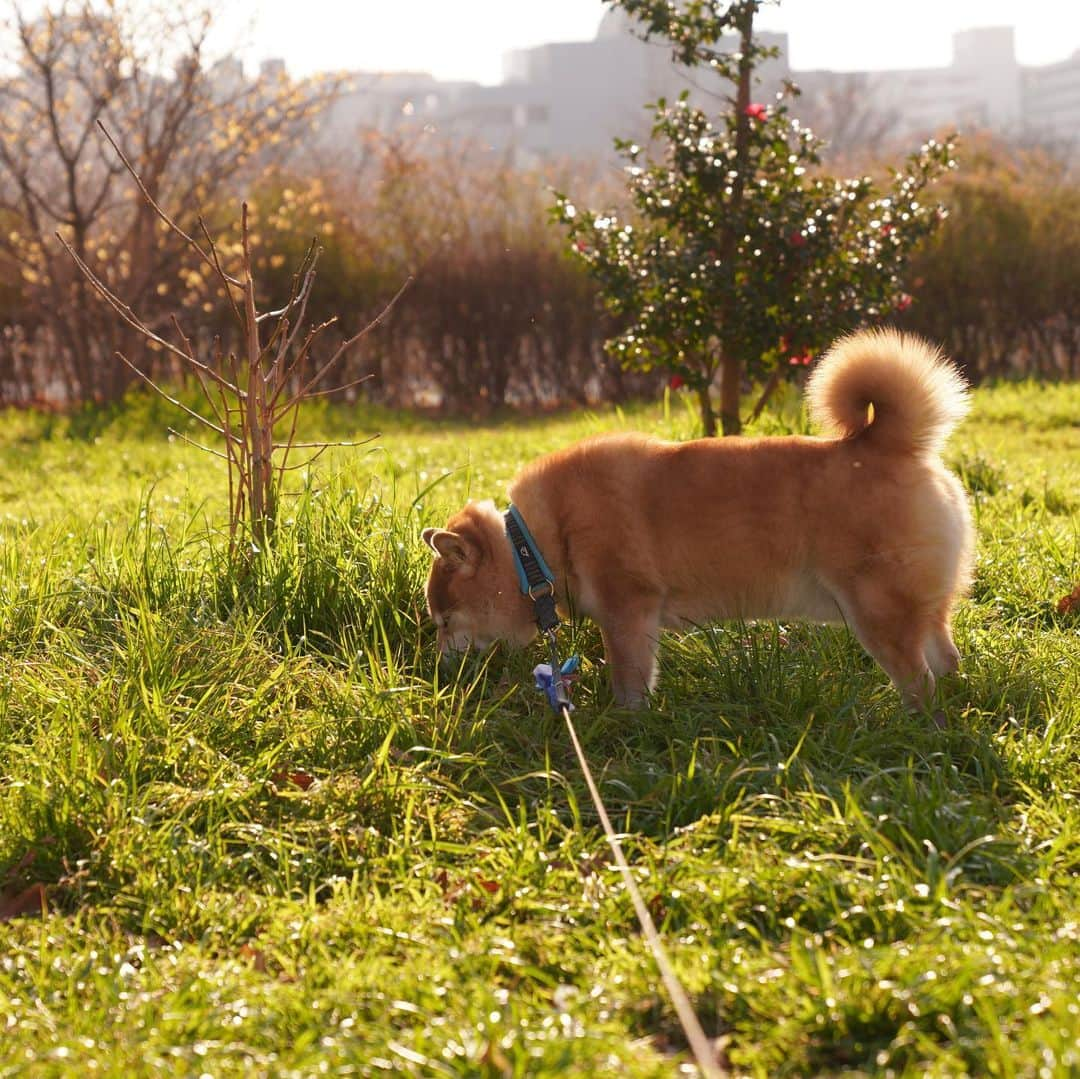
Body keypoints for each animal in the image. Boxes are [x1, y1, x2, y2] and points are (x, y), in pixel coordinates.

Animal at [419, 332, 972, 712]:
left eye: (445, 622)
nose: (438, 669)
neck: (538, 544)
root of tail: (890, 445)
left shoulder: (628, 611)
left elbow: (629, 678)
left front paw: (625, 720)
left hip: (877, 612)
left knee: (920, 680)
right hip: (917, 612)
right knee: (946, 662)